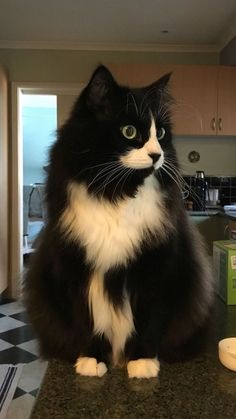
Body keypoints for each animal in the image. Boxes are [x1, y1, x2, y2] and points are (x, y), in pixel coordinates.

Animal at [24, 65, 214, 380]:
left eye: (161, 133)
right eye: (130, 131)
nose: (157, 155)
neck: (116, 193)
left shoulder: (156, 269)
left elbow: (149, 321)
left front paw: (142, 363)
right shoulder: (76, 270)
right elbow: (86, 321)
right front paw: (92, 360)